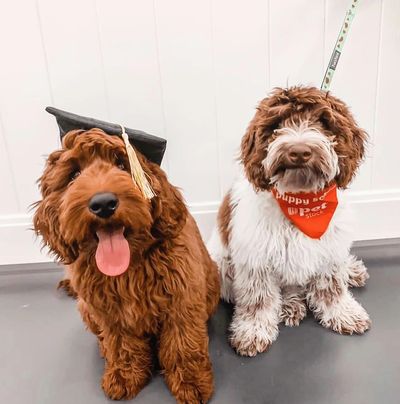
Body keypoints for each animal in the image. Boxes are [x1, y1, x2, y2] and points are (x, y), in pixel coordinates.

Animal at [32, 129, 220, 400]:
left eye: (122, 164)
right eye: (74, 175)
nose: (103, 204)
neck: (128, 264)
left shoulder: (182, 300)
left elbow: (183, 342)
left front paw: (190, 381)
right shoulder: (109, 313)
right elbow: (122, 344)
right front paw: (125, 374)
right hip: (85, 308)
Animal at [208, 86, 370, 356]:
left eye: (322, 122)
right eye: (277, 125)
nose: (300, 152)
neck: (302, 201)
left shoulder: (330, 250)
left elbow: (332, 288)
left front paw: (343, 313)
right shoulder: (256, 259)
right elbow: (258, 300)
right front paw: (253, 331)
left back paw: (351, 271)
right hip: (221, 264)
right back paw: (290, 305)